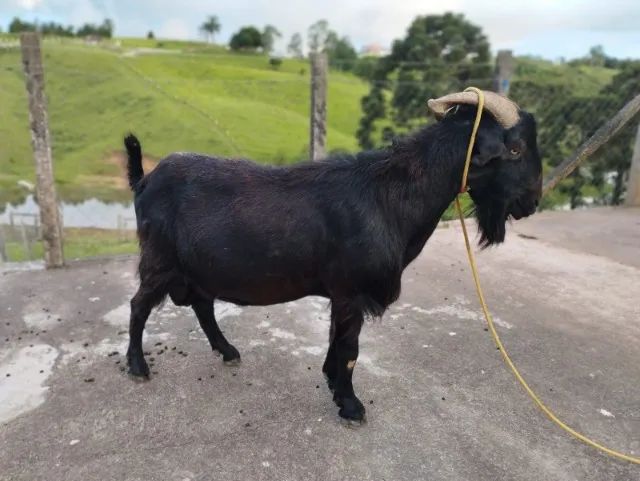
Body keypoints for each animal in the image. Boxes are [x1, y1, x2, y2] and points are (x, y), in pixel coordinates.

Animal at [123, 91, 541, 424]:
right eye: (515, 148)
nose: (533, 201)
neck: (389, 196)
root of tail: (144, 180)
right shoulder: (352, 291)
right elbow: (350, 348)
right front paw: (351, 406)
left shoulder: (341, 295)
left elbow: (335, 340)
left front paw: (332, 380)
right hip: (159, 259)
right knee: (139, 305)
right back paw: (138, 366)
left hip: (197, 268)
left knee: (202, 305)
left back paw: (227, 351)